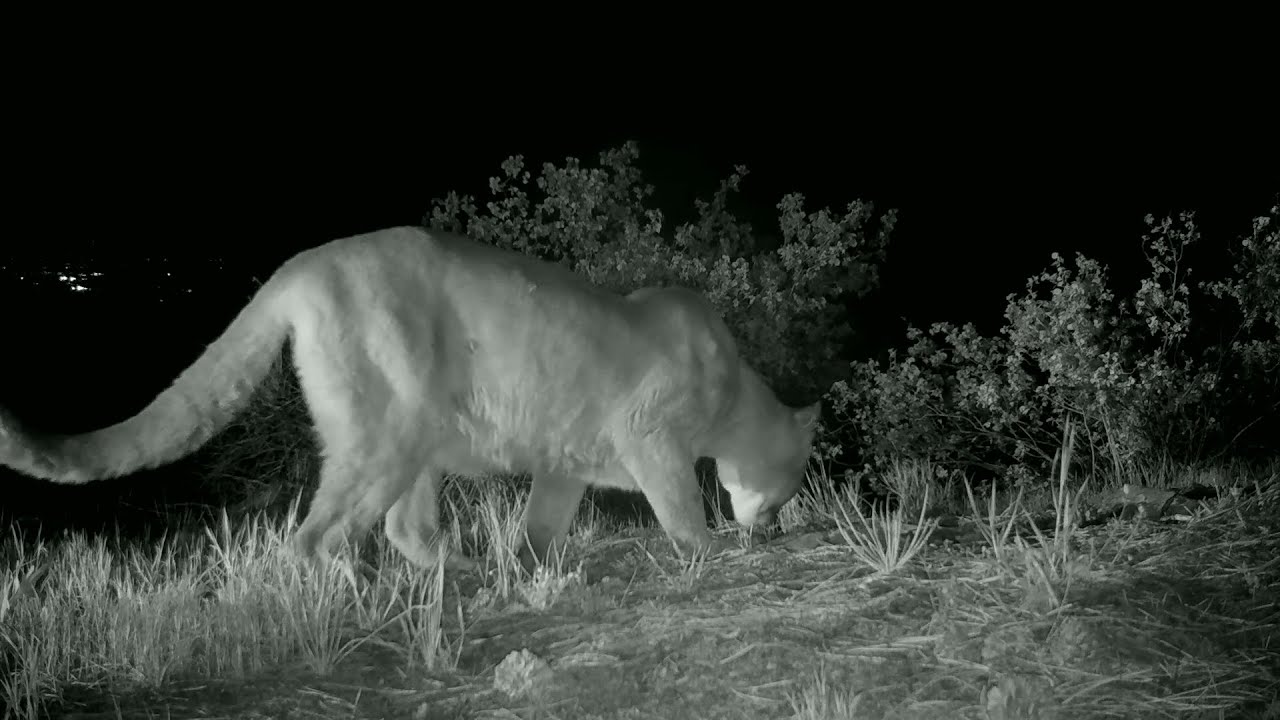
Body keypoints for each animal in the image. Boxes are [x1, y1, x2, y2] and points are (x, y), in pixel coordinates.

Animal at [0, 226, 820, 572]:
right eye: (793, 478)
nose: (773, 525)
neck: (736, 391)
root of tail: (301, 262)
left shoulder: (565, 465)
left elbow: (541, 523)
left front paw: (529, 566)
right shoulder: (652, 438)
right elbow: (681, 507)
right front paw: (713, 551)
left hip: (416, 438)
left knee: (403, 527)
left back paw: (454, 574)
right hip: (385, 432)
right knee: (319, 536)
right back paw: (357, 591)